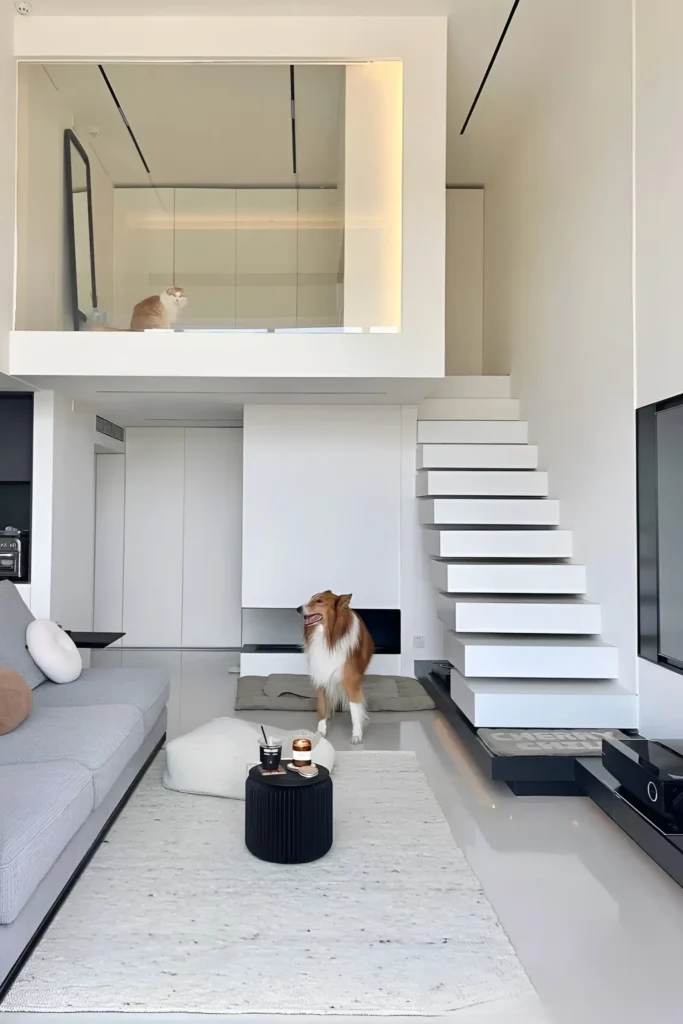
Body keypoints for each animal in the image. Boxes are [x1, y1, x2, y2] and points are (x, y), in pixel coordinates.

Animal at [296, 593, 374, 745]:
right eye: (310, 598)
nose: (298, 609)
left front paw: (357, 734)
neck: (328, 637)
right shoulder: (321, 675)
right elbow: (322, 705)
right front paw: (321, 730)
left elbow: (355, 708)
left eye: (319, 601)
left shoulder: (350, 680)